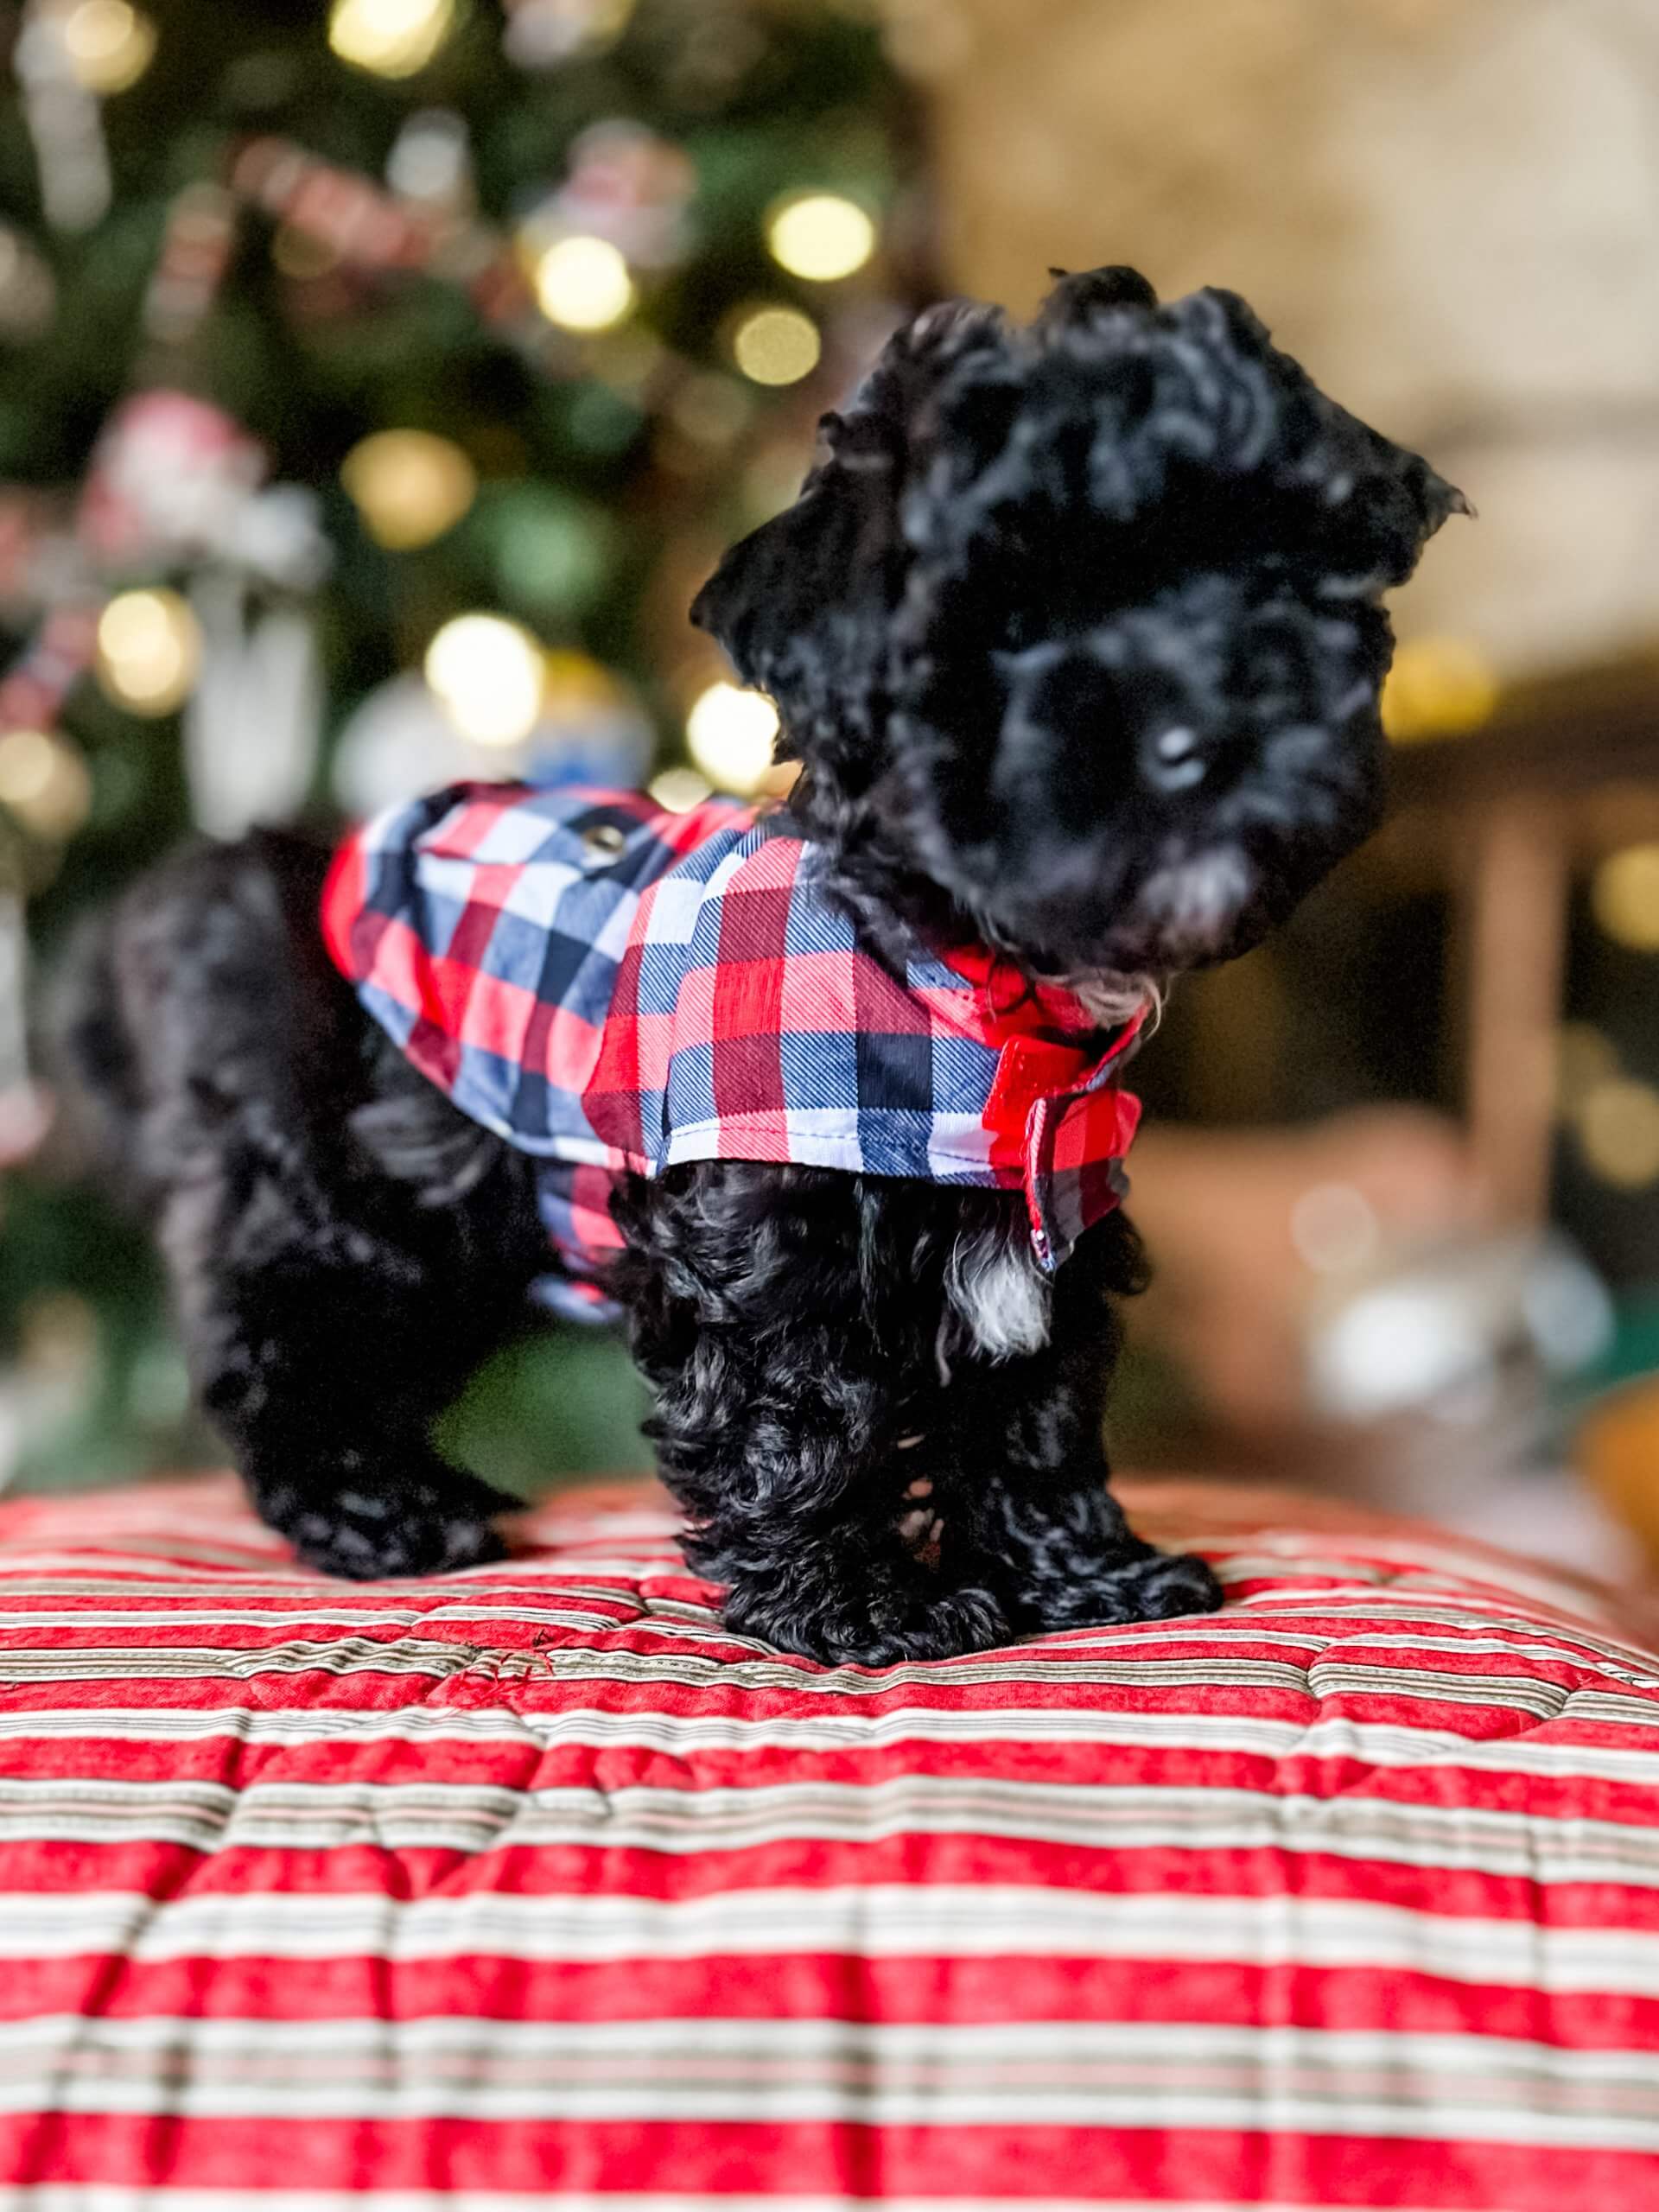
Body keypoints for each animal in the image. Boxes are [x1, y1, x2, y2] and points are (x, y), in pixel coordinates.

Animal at [61, 271, 1468, 1663]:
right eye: (1009, 622)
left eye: (1263, 574)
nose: (1204, 736)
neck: (952, 977)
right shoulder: (767, 1240)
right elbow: (803, 1415)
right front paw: (863, 1602)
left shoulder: (1050, 1222)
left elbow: (1036, 1411)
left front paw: (1084, 1572)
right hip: (339, 1206)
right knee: (280, 1358)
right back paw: (378, 1511)